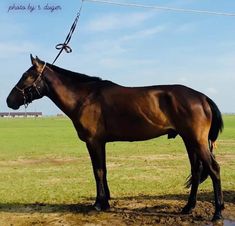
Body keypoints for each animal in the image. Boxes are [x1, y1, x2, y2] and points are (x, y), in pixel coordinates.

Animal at [6, 54, 224, 221]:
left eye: (26, 76)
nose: (9, 101)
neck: (85, 97)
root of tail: (202, 97)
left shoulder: (93, 142)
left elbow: (98, 171)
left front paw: (98, 203)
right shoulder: (100, 143)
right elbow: (103, 170)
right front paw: (106, 201)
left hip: (197, 141)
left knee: (214, 169)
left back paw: (218, 213)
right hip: (189, 141)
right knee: (196, 171)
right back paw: (188, 207)